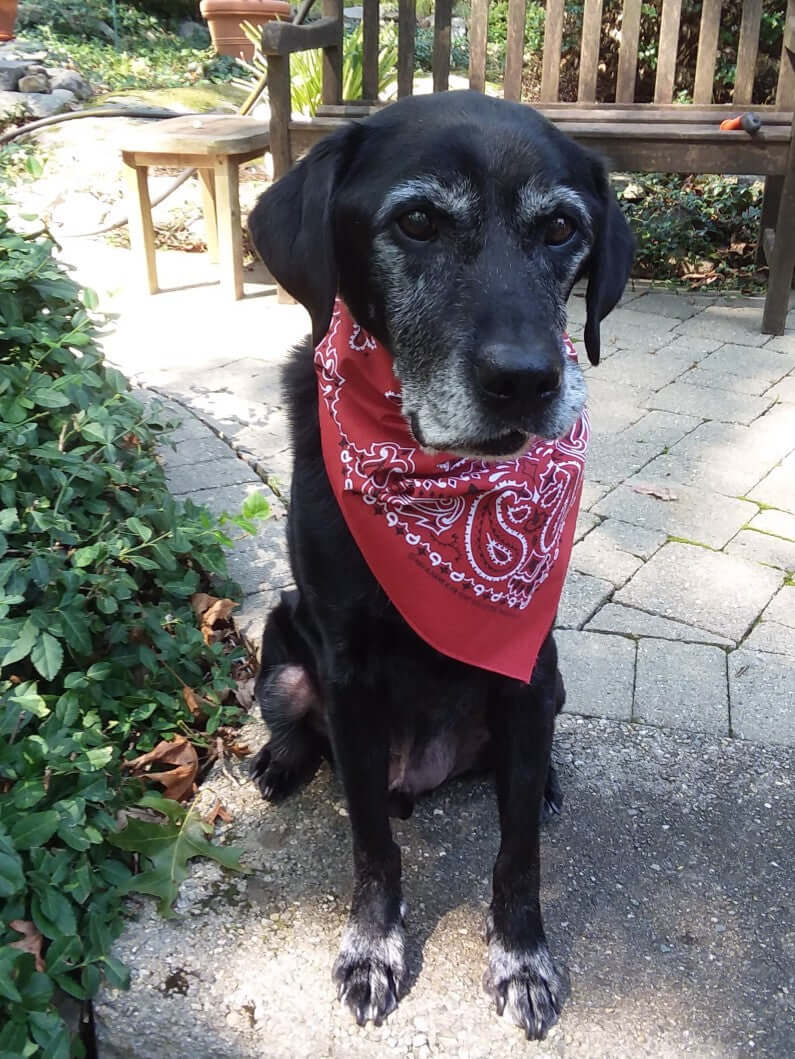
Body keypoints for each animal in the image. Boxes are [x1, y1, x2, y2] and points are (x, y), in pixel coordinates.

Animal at [248, 93, 635, 1042]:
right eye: (417, 220)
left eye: (561, 227)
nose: (527, 380)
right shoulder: (347, 674)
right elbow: (372, 847)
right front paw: (371, 949)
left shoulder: (528, 672)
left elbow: (518, 857)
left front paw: (522, 959)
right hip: (280, 650)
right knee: (302, 727)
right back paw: (281, 760)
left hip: (551, 683)